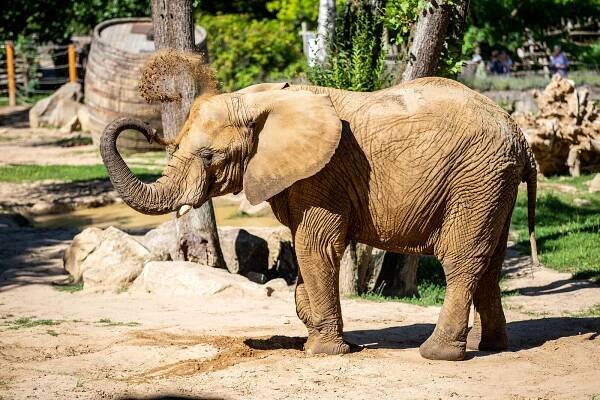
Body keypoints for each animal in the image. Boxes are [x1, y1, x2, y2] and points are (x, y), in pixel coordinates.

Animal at [98, 52, 540, 362]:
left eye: (209, 156)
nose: (145, 124)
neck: (262, 101)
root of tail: (520, 133)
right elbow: (301, 249)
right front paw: (323, 335)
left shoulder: (324, 174)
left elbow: (316, 246)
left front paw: (322, 351)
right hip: (493, 182)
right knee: (489, 261)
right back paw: (494, 347)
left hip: (475, 177)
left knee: (461, 260)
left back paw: (438, 354)